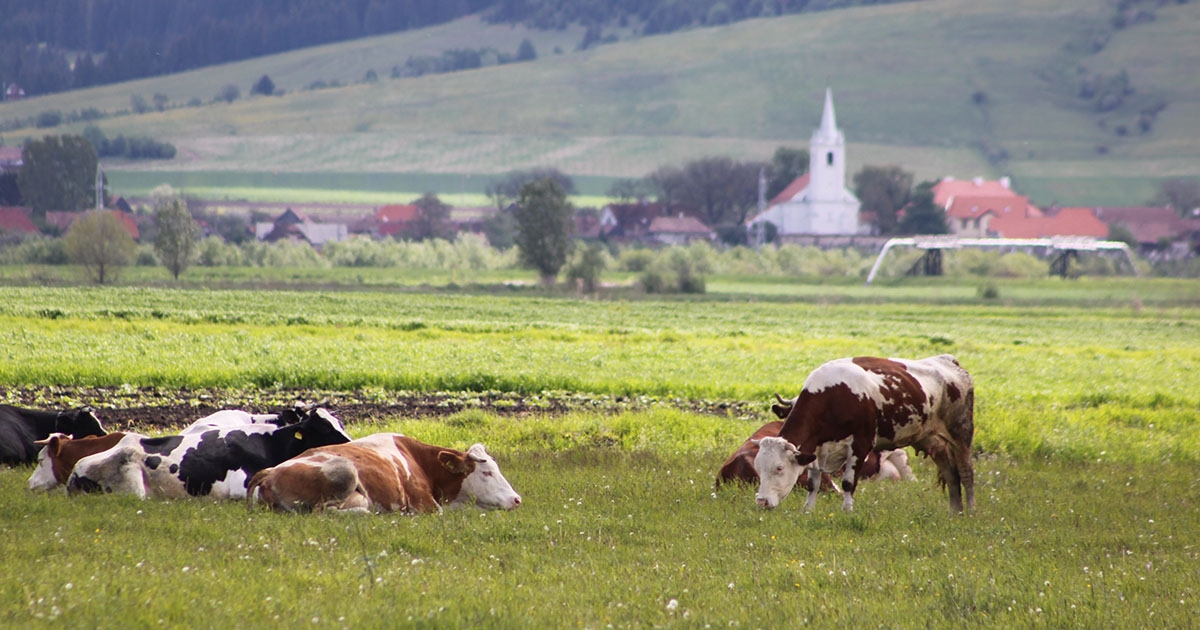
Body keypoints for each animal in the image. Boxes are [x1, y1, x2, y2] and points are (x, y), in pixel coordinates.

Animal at [68, 408, 350, 501]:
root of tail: (75, 470)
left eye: (340, 423)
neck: (271, 443)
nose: (351, 444)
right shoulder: (241, 486)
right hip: (132, 485)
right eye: (324, 428)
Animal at [758, 352, 974, 511]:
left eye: (779, 468)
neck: (832, 398)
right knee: (951, 475)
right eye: (758, 467)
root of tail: (948, 361)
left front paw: (846, 512)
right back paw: (955, 513)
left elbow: (848, 483)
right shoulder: (815, 448)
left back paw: (970, 512)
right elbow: (813, 484)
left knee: (965, 473)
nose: (761, 501)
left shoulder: (860, 444)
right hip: (933, 441)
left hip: (961, 434)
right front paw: (808, 512)